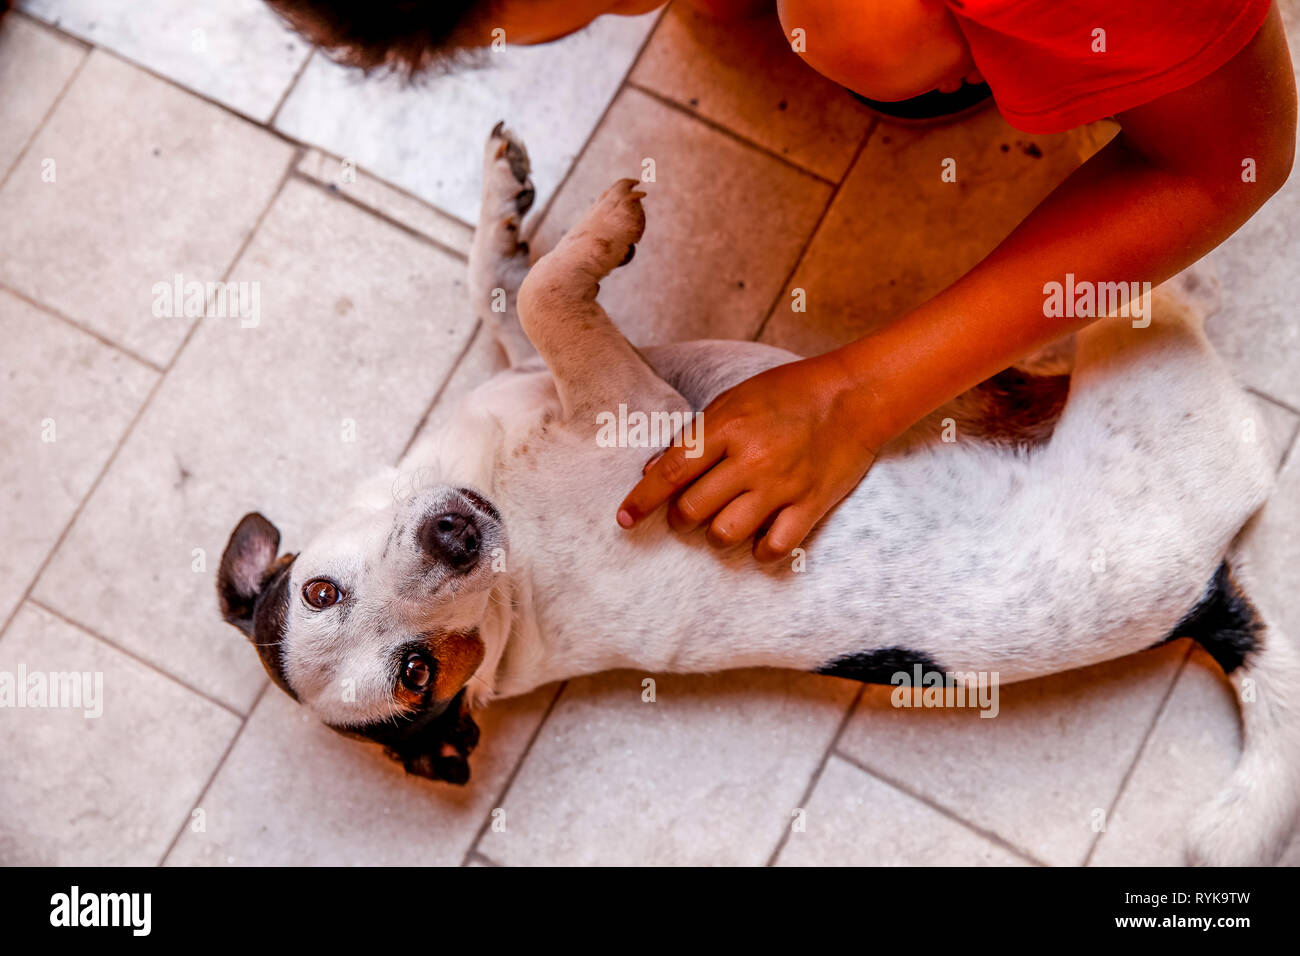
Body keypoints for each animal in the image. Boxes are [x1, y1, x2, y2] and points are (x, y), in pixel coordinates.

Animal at [220, 125, 1300, 868]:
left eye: (319, 588)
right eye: (413, 674)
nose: (453, 534)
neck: (513, 569)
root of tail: (1204, 596)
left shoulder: (551, 369)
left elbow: (508, 281)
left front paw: (505, 191)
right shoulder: (639, 410)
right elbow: (548, 292)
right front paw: (607, 226)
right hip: (1142, 374)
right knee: (1156, 300)